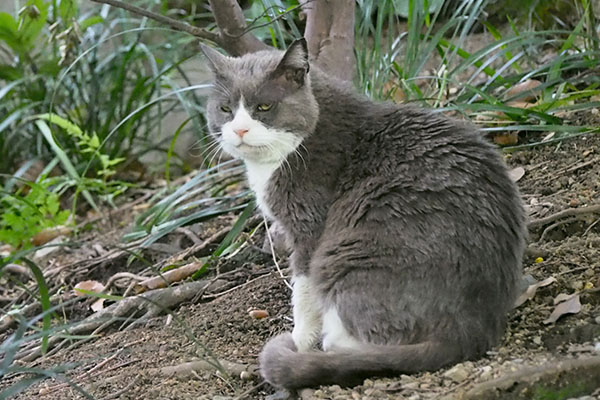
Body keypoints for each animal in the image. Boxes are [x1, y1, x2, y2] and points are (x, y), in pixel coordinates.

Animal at [202, 39, 524, 390]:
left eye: (264, 107)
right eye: (225, 109)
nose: (239, 130)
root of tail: (471, 329)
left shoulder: (308, 226)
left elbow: (303, 292)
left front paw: (299, 341)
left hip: (344, 258)